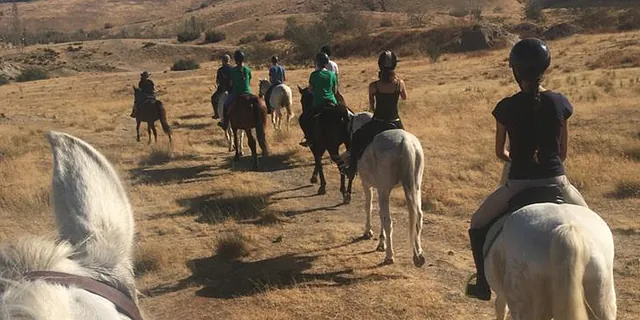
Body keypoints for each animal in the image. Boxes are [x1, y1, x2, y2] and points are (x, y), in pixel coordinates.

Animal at [350, 111, 424, 266]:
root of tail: (405, 143)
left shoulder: (368, 185)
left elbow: (369, 207)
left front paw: (369, 233)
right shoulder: (380, 189)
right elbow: (379, 212)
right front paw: (381, 241)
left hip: (384, 190)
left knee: (388, 221)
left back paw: (389, 256)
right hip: (416, 186)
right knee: (418, 217)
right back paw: (418, 254)